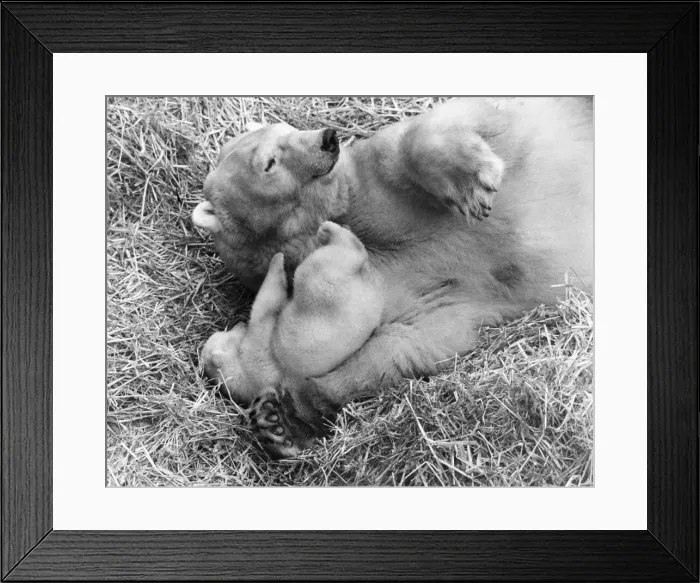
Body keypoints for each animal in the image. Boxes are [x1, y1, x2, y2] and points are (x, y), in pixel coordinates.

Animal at [193, 97, 594, 458]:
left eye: (287, 129)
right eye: (268, 162)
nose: (328, 138)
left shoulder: (376, 179)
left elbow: (433, 128)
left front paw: (473, 182)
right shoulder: (422, 289)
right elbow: (414, 341)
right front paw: (280, 420)